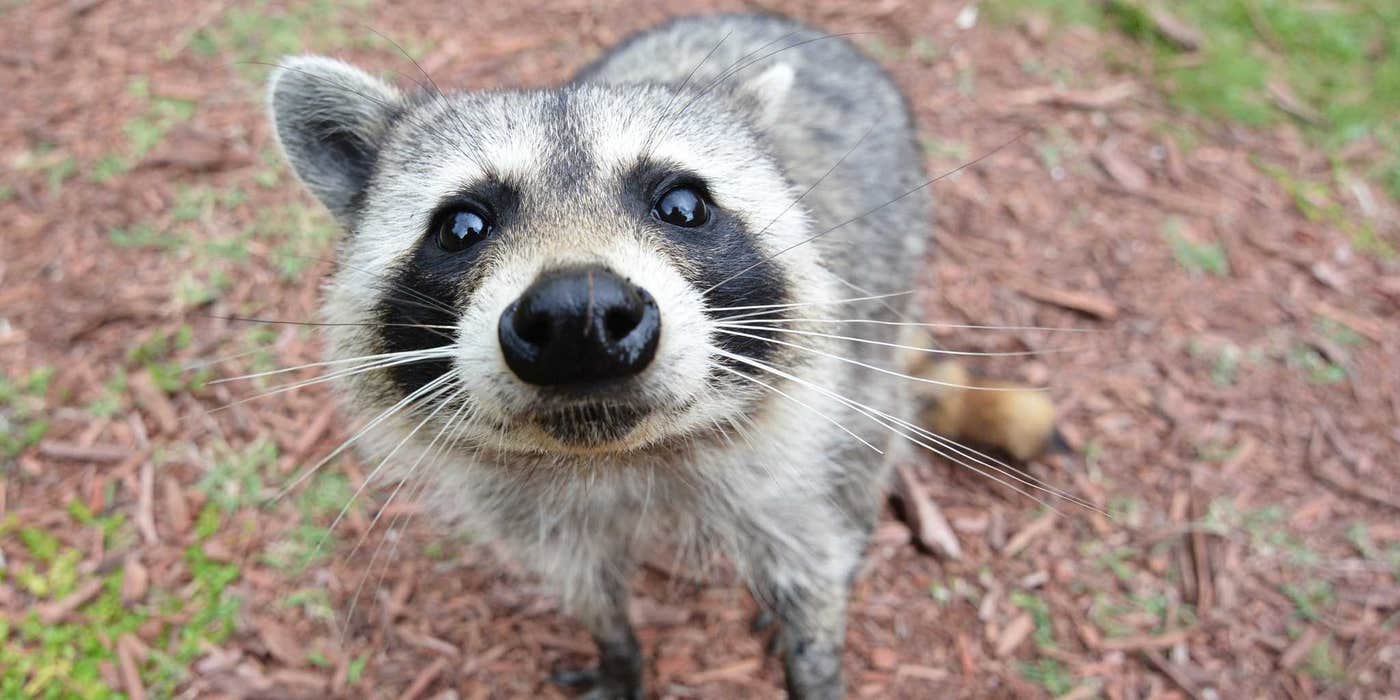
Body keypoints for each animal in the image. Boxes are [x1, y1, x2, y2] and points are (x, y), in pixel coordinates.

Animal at [268, 13, 930, 699]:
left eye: (683, 206)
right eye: (460, 227)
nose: (576, 319)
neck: (615, 457)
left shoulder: (793, 447)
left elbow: (811, 558)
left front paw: (814, 653)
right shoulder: (530, 513)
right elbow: (583, 584)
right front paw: (618, 651)